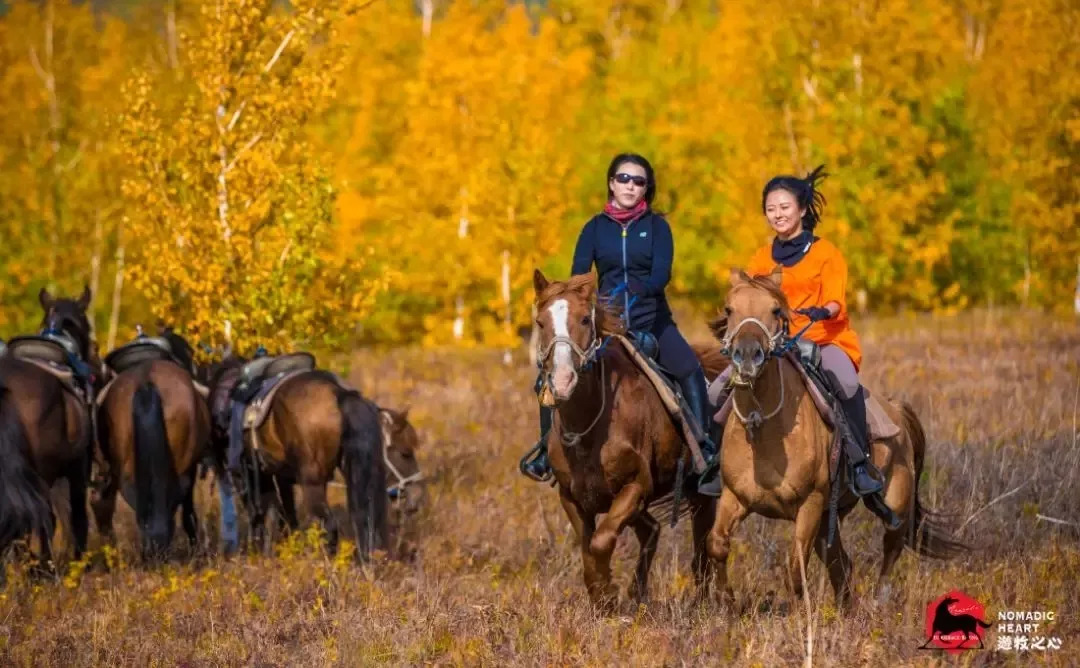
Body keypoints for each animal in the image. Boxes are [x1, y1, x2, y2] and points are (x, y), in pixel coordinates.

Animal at [533, 270, 717, 612]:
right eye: (540, 322)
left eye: (584, 319)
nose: (563, 380)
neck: (589, 429)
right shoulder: (571, 497)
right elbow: (587, 547)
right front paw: (602, 595)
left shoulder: (635, 487)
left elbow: (601, 541)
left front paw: (607, 595)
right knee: (652, 531)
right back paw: (638, 593)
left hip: (702, 494)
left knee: (702, 549)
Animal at [695, 270, 967, 612]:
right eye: (730, 309)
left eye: (775, 310)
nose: (746, 357)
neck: (764, 425)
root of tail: (897, 410)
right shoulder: (735, 498)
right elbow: (716, 544)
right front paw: (728, 603)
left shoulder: (810, 504)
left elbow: (795, 569)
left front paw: (798, 618)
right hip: (830, 518)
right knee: (842, 564)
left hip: (894, 502)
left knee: (891, 546)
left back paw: (877, 602)